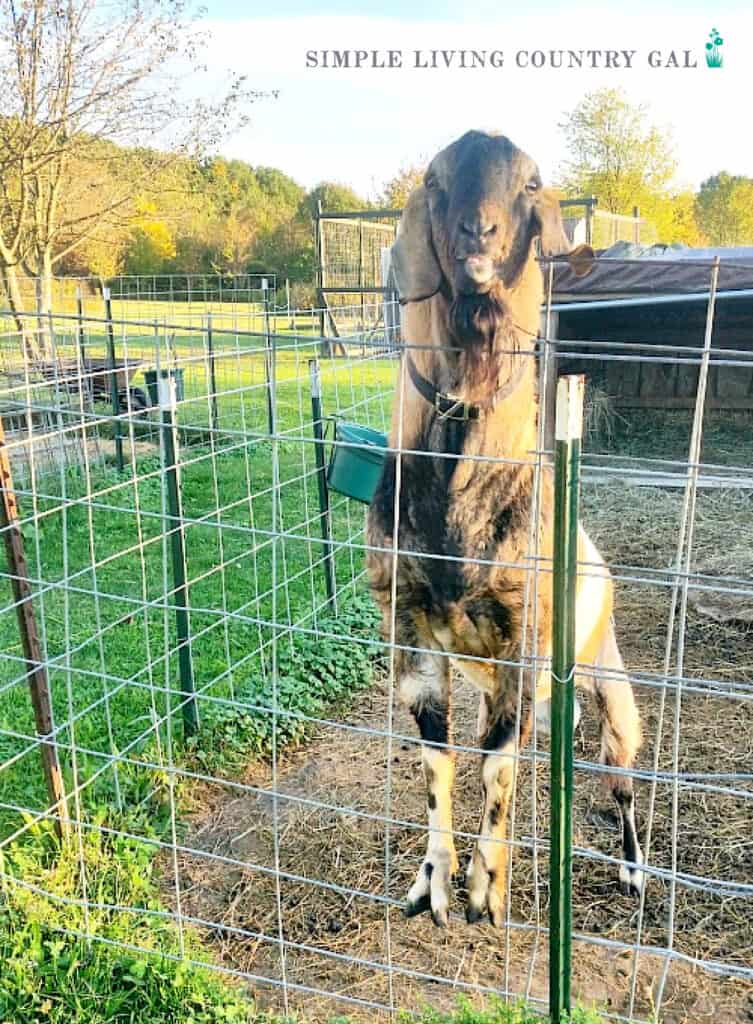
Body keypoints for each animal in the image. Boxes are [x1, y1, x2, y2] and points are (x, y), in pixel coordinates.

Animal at [364, 128, 643, 929]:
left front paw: (487, 887)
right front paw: (434, 881)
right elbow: (440, 757)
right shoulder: (409, 623)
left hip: (608, 685)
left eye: (532, 183)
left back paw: (634, 872)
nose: (476, 236)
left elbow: (495, 761)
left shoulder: (524, 636)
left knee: (618, 774)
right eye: (434, 178)